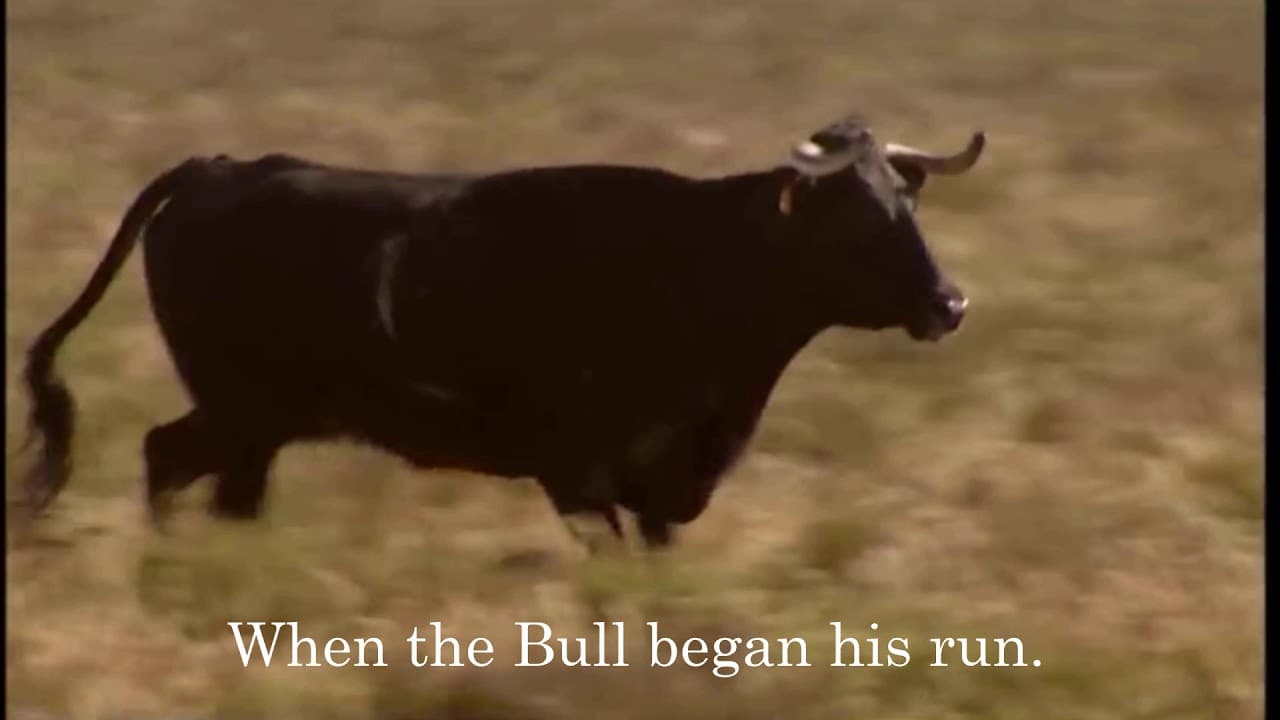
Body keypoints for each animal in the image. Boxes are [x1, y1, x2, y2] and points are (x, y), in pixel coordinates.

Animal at [19, 115, 985, 549]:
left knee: (211, 486)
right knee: (164, 457)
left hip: (258, 424)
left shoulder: (665, 486)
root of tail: (218, 168)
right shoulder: (578, 476)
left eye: (905, 203)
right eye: (856, 217)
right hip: (239, 409)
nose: (949, 305)